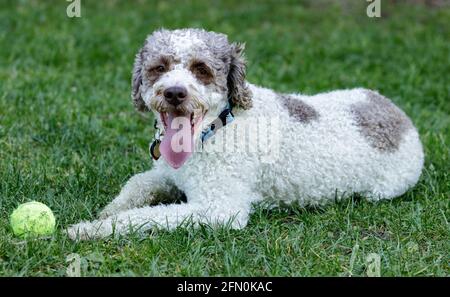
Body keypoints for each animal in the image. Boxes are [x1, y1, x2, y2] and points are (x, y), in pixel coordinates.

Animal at [66, 28, 422, 240]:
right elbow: (136, 183)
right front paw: (108, 210)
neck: (217, 128)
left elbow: (145, 216)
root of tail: (399, 116)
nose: (174, 93)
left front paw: (90, 228)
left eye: (201, 69)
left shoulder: (220, 209)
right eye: (160, 67)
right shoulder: (166, 174)